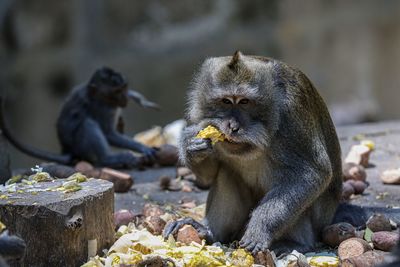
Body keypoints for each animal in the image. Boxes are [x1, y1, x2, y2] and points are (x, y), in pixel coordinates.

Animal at [0, 67, 159, 169]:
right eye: (117, 91)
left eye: (124, 88)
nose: (125, 97)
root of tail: (67, 150)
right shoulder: (104, 108)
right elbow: (109, 134)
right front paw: (142, 147)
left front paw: (138, 98)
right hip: (81, 147)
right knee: (88, 124)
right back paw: (108, 159)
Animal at [164, 51, 342, 255]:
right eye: (226, 101)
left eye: (244, 102)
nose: (232, 126)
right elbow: (208, 176)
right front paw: (191, 146)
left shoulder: (291, 114)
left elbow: (311, 174)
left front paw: (259, 229)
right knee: (227, 172)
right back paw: (209, 233)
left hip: (319, 220)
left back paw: (296, 243)